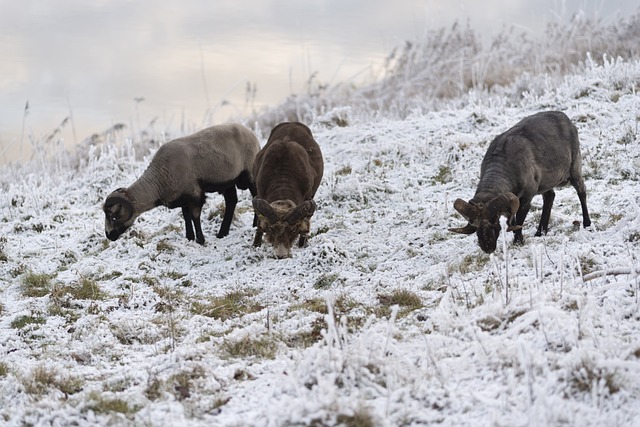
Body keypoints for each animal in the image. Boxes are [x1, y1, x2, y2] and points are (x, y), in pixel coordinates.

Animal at [104, 123, 258, 244]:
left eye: (113, 216)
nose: (108, 235)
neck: (160, 177)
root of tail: (250, 133)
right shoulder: (183, 197)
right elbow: (186, 216)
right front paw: (189, 238)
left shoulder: (195, 194)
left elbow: (195, 216)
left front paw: (200, 240)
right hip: (228, 181)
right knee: (231, 201)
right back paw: (222, 233)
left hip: (250, 174)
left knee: (255, 196)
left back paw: (255, 224)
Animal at [251, 122, 324, 260]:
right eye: (271, 228)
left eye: (293, 230)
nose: (281, 255)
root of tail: (292, 123)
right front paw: (255, 245)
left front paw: (303, 243)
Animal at [450, 111, 592, 254]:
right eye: (474, 223)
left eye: (495, 220)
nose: (487, 248)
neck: (503, 163)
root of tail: (565, 118)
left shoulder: (526, 197)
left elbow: (519, 219)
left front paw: (518, 241)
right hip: (546, 182)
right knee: (549, 198)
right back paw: (541, 232)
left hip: (574, 168)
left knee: (581, 191)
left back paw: (587, 223)